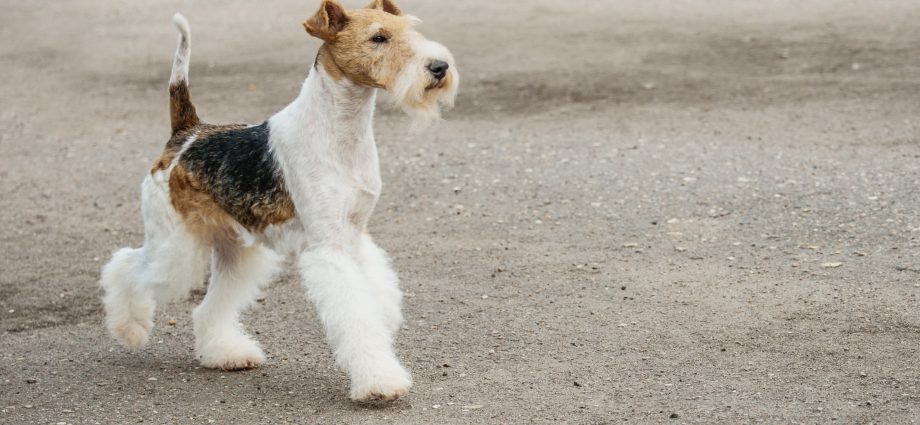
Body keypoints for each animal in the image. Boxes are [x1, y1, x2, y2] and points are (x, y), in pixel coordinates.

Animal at [99, 0, 458, 400]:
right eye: (378, 38)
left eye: (411, 31)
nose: (439, 68)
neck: (342, 131)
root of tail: (187, 134)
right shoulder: (329, 248)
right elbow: (355, 315)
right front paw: (380, 381)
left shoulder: (355, 234)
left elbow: (376, 296)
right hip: (175, 247)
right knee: (125, 266)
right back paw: (130, 330)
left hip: (237, 251)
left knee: (207, 308)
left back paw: (226, 353)